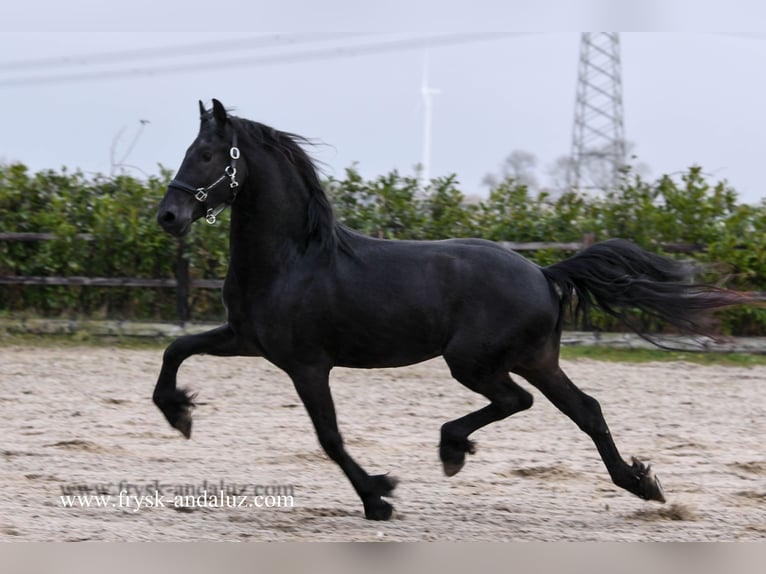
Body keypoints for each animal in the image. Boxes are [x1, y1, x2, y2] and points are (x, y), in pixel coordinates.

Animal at [156, 99, 752, 520]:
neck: (294, 258)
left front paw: (378, 497)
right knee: (586, 410)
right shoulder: (244, 338)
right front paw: (179, 414)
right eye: (190, 149)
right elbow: (176, 349)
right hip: (535, 359)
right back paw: (641, 484)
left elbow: (329, 436)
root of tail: (544, 273)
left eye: (206, 155)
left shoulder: (307, 364)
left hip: (472, 362)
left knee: (518, 401)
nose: (169, 217)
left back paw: (452, 447)